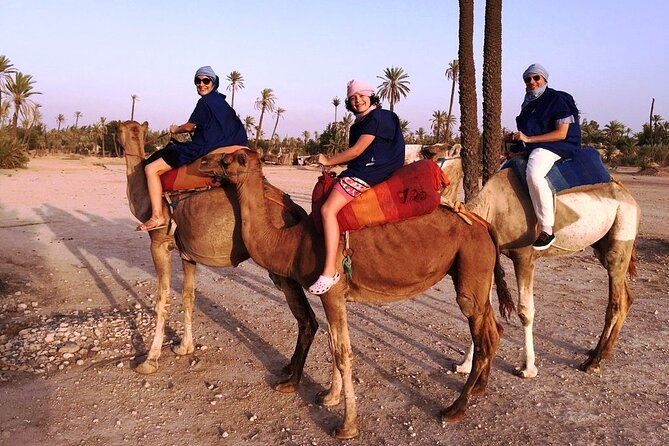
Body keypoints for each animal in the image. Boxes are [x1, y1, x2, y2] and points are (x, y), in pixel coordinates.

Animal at [116, 121, 318, 390]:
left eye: (119, 130)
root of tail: (296, 211)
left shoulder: (158, 243)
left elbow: (162, 300)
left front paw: (149, 360)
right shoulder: (187, 253)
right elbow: (188, 297)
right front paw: (184, 347)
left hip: (281, 265)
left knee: (307, 319)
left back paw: (293, 382)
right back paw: (291, 372)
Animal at [201, 147, 516, 440]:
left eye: (227, 160)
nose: (202, 161)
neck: (292, 242)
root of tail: (485, 225)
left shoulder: (331, 291)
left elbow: (343, 354)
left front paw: (346, 426)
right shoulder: (333, 297)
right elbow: (333, 345)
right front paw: (328, 396)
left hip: (471, 268)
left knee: (482, 332)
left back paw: (455, 408)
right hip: (474, 274)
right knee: (494, 327)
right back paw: (479, 390)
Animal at [430, 145, 640, 376]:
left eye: (430, 153)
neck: (493, 208)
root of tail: (628, 195)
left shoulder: (524, 257)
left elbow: (525, 311)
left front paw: (527, 367)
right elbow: (484, 307)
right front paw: (465, 365)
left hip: (622, 232)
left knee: (615, 303)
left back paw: (593, 361)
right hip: (602, 245)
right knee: (626, 297)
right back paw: (603, 352)